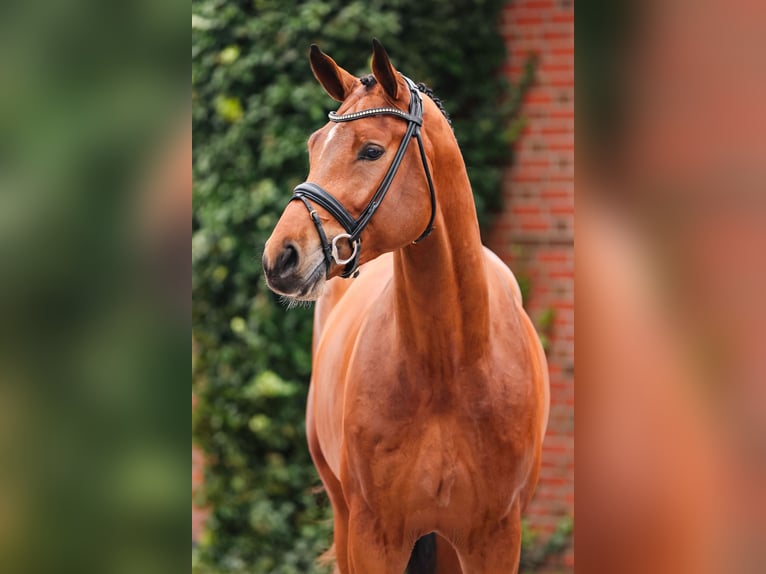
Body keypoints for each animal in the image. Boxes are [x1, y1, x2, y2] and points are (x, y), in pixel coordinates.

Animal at [264, 40, 552, 574]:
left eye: (371, 150)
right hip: (345, 516)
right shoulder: (374, 536)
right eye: (315, 146)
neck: (450, 364)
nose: (280, 257)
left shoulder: (496, 539)